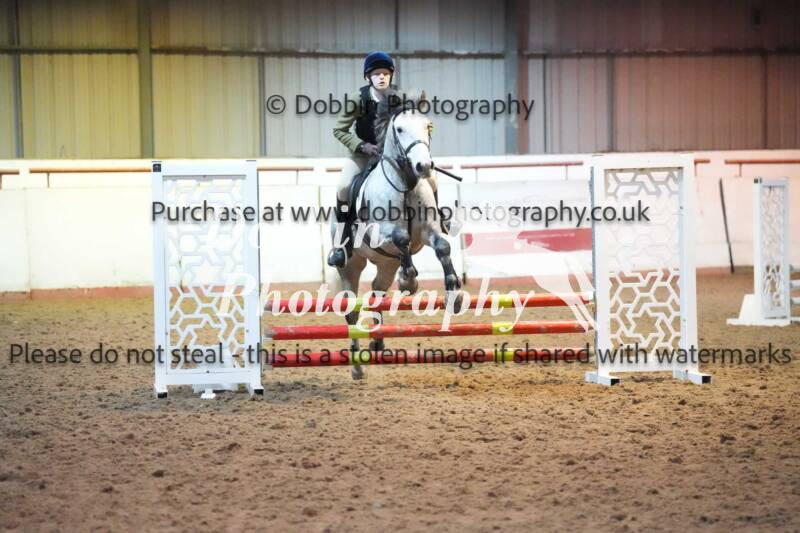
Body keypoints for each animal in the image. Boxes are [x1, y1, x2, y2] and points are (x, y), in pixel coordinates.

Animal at [330, 92, 462, 379]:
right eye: (399, 129)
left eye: (428, 126)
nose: (423, 166)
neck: (405, 184)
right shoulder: (379, 233)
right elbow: (401, 238)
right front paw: (409, 282)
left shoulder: (430, 232)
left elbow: (443, 247)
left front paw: (455, 295)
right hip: (351, 265)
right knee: (351, 310)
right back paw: (356, 366)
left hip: (385, 264)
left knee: (376, 292)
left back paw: (377, 342)